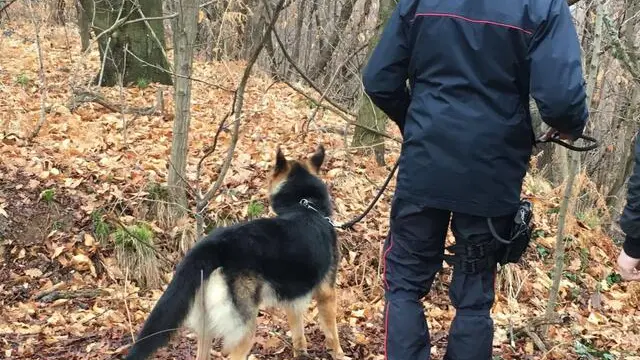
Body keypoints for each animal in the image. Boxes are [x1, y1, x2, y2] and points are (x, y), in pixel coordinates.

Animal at [125, 145, 344, 358]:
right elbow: (332, 335)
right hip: (245, 331)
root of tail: (213, 246)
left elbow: (298, 335)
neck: (305, 206)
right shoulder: (326, 294)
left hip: (206, 328)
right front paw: (339, 354)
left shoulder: (292, 300)